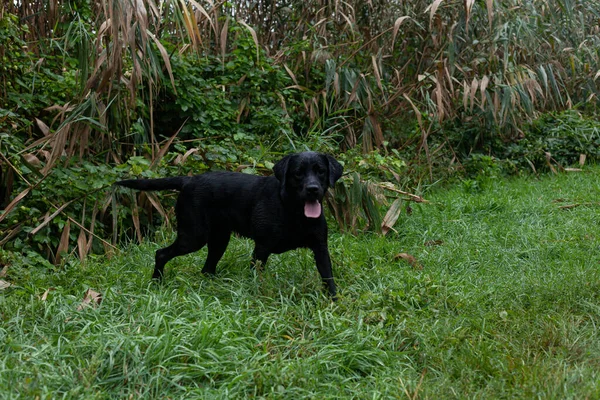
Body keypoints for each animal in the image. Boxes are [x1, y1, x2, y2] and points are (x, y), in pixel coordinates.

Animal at [115, 152, 344, 298]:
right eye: (298, 173)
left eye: (321, 171)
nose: (313, 189)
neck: (293, 211)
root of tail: (188, 180)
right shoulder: (261, 249)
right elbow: (256, 277)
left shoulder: (321, 248)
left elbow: (329, 277)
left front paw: (333, 301)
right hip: (193, 237)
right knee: (161, 253)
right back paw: (156, 282)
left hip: (219, 239)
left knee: (207, 268)